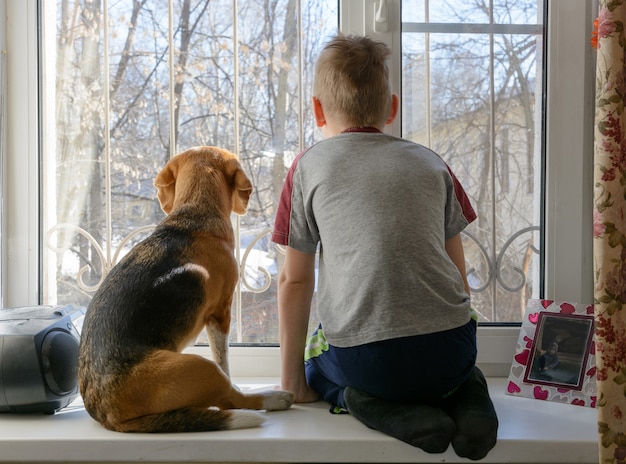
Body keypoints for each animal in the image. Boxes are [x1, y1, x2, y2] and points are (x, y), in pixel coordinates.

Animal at [78, 145, 292, 432]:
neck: (195, 211)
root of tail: (107, 413)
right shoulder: (221, 313)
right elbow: (224, 359)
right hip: (201, 367)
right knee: (232, 399)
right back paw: (275, 397)